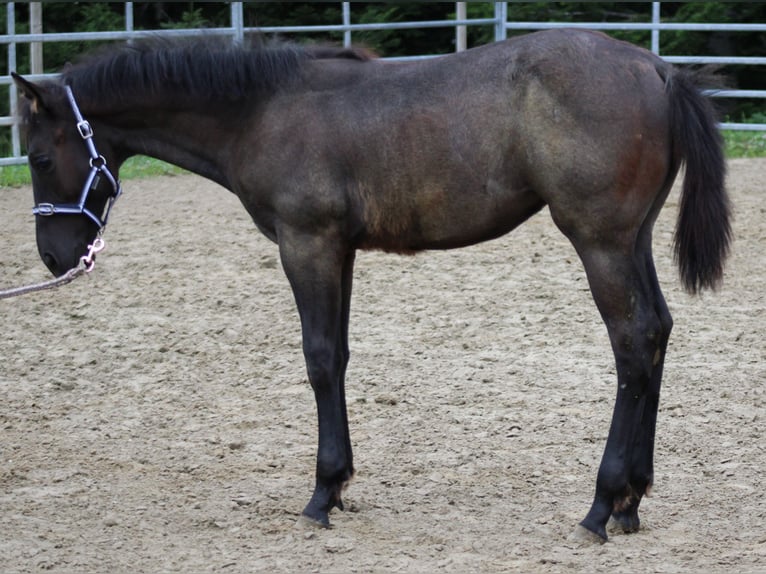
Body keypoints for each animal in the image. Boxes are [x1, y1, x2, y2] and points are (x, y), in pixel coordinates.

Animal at [12, 30, 732, 544]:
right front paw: (340, 484)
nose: (55, 256)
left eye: (41, 156)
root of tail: (659, 70)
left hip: (601, 242)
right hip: (631, 240)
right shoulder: (340, 250)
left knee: (632, 342)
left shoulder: (307, 245)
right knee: (658, 332)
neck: (262, 111)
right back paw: (632, 500)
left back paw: (602, 505)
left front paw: (321, 493)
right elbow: (341, 356)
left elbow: (320, 359)